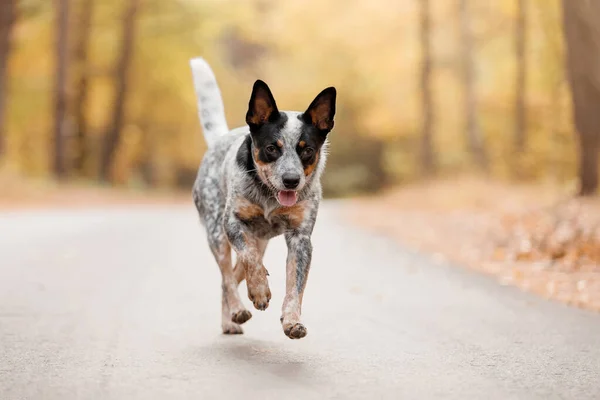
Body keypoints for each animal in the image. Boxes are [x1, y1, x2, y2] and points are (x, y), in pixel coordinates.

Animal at [190, 57, 336, 340]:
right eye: (271, 148)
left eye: (308, 150)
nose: (291, 180)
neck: (270, 199)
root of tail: (219, 138)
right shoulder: (232, 223)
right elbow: (250, 260)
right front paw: (259, 291)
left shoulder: (301, 238)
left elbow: (295, 286)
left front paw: (292, 321)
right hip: (217, 234)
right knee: (227, 276)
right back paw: (237, 311)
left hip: (259, 240)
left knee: (232, 277)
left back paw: (230, 319)